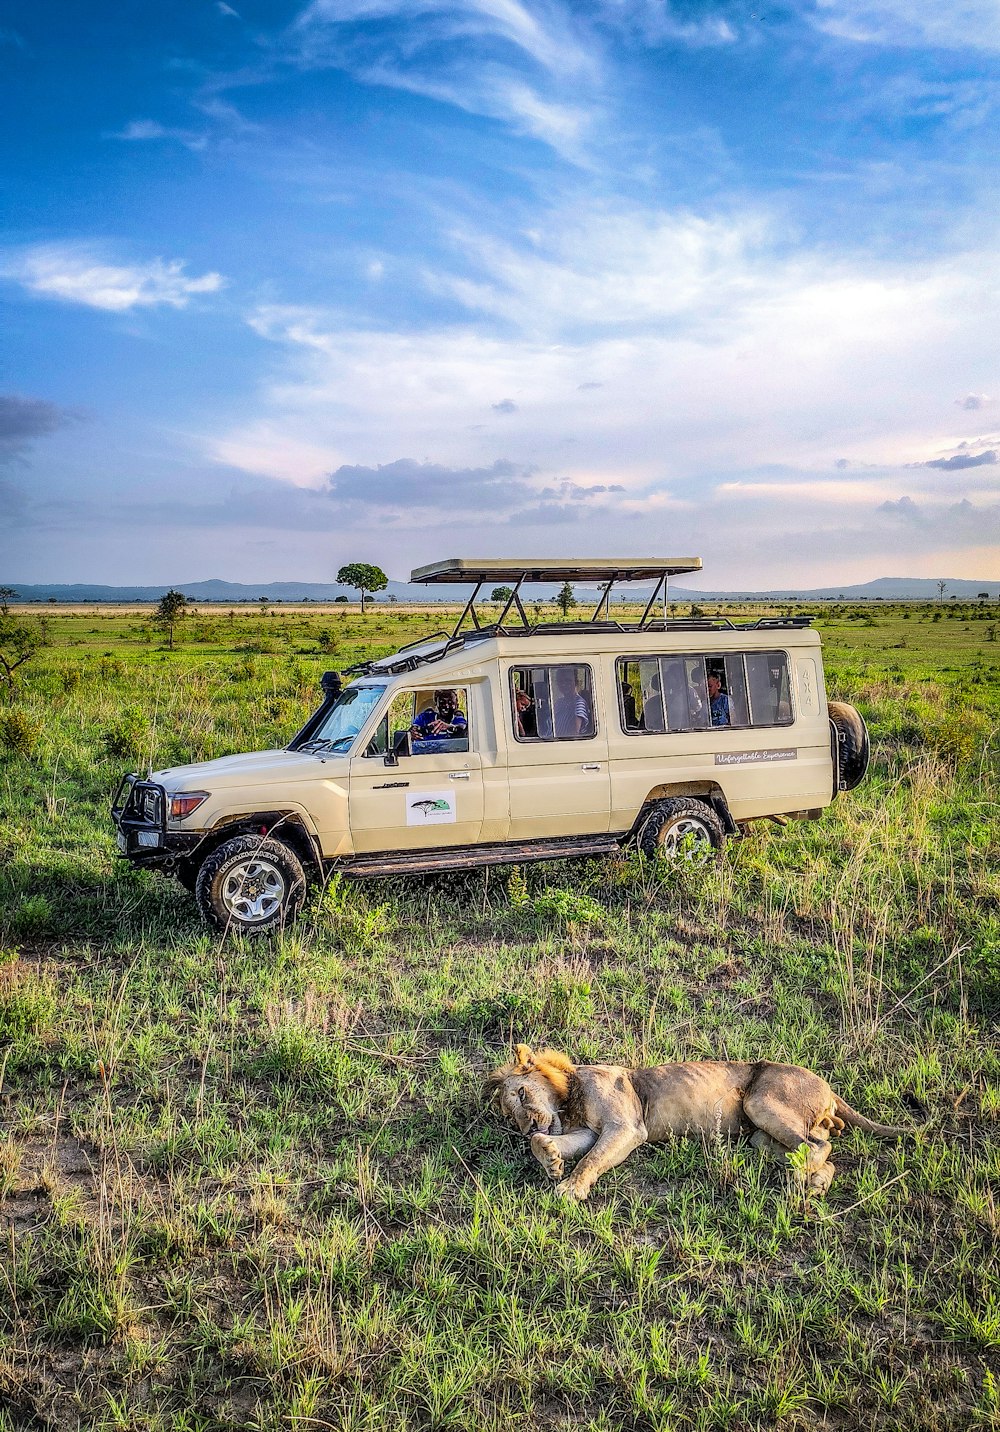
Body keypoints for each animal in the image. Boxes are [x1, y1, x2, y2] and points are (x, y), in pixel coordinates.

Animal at [484, 1042, 911, 1197]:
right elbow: (574, 1147)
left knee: (818, 1145)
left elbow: (590, 1160)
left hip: (761, 1101)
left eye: (520, 1095)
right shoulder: (592, 1131)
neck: (569, 1097)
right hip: (759, 1134)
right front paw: (550, 1156)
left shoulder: (626, 1127)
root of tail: (827, 1086)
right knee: (824, 1150)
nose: (527, 1126)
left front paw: (570, 1188)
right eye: (510, 1117)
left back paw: (797, 1182)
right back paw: (816, 1184)